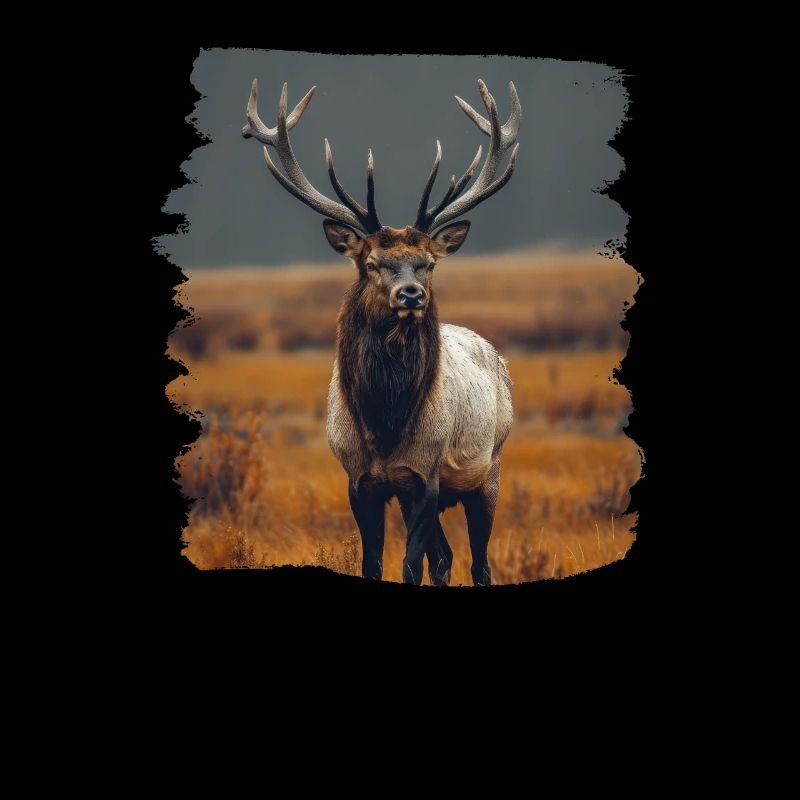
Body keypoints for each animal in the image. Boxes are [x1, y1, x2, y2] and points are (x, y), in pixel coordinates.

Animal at [242, 78, 521, 585]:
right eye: (372, 263)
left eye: (428, 263)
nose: (411, 294)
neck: (384, 423)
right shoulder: (358, 479)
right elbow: (373, 561)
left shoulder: (425, 476)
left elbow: (410, 564)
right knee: (445, 557)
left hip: (489, 469)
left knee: (478, 561)